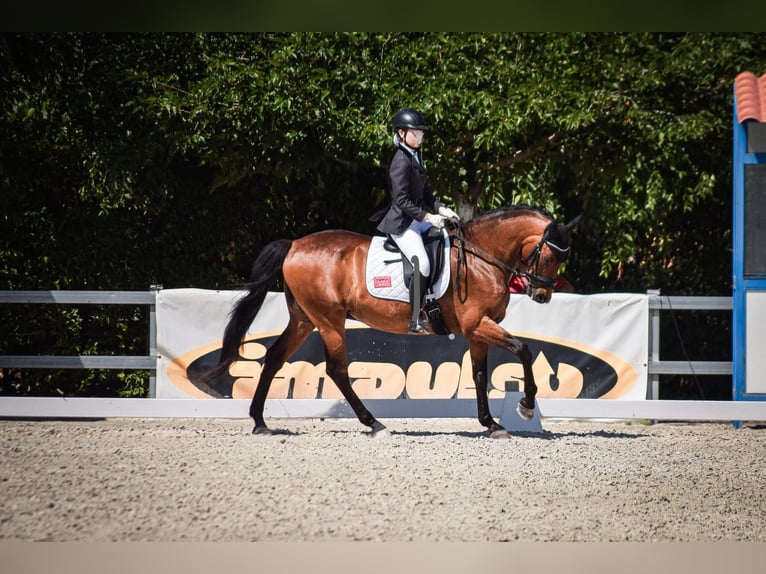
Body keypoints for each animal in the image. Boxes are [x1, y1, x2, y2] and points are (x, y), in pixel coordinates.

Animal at [207, 208, 580, 440]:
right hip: (328, 320)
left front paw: (491, 424)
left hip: (303, 319)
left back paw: (260, 422)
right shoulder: (478, 324)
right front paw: (526, 407)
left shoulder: (477, 331)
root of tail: (295, 244)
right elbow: (524, 350)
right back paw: (374, 423)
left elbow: (478, 374)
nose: (542, 295)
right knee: (337, 370)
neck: (481, 258)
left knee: (274, 359)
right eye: (550, 255)